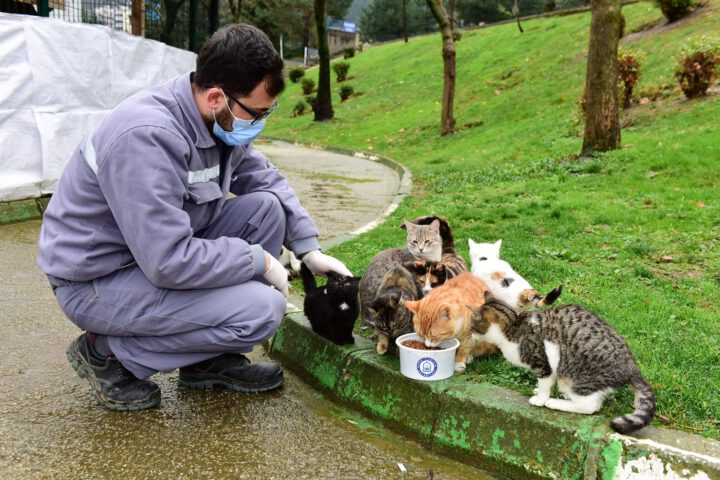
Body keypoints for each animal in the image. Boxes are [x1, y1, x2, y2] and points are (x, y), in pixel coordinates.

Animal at [470, 292, 656, 436]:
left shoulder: (543, 362)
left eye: (472, 325)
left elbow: (545, 384)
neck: (513, 327)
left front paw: (541, 399)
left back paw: (556, 402)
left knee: (590, 407)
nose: (470, 334)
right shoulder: (551, 370)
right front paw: (538, 391)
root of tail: (632, 366)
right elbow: (547, 383)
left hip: (573, 379)